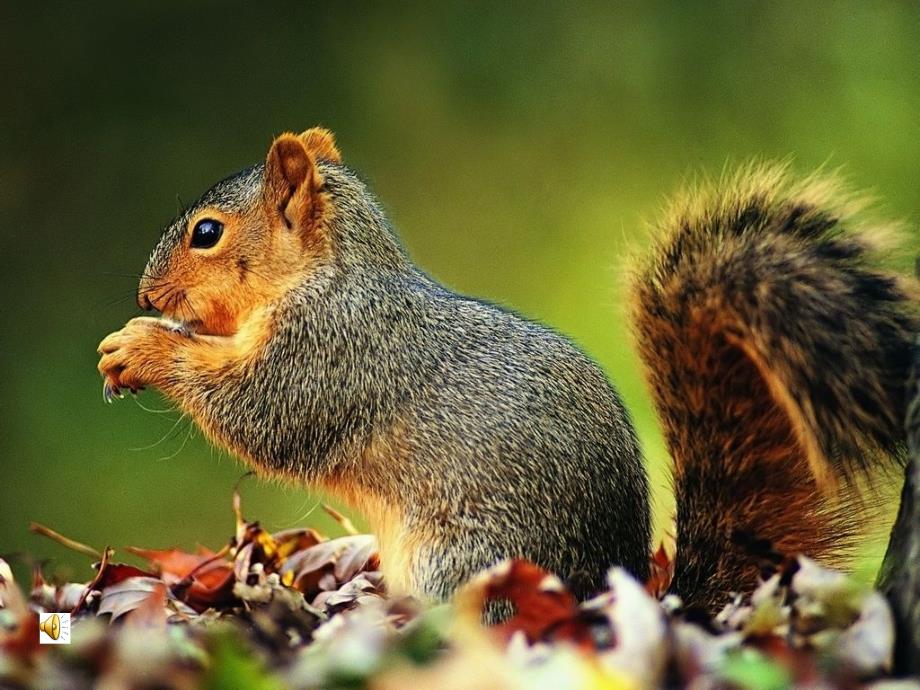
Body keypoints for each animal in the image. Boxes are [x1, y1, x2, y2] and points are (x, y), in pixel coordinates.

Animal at [97, 129, 916, 612]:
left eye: (207, 233)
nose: (143, 294)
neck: (329, 274)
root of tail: (604, 590)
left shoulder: (331, 352)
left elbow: (261, 413)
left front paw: (141, 347)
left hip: (463, 561)